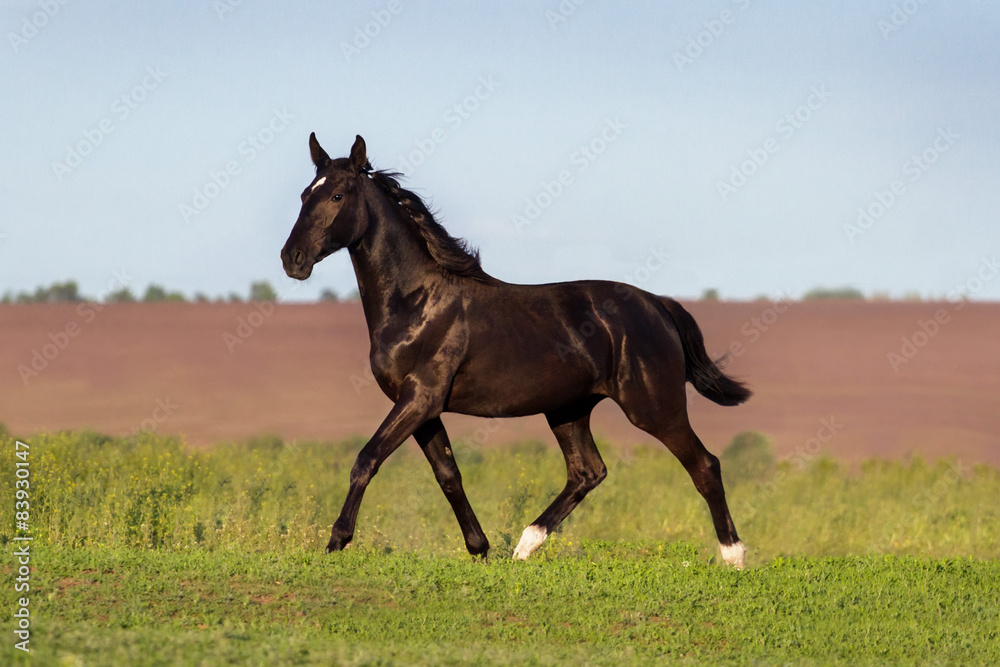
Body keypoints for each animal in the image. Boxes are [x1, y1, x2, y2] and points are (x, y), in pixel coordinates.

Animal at [281, 133, 751, 568]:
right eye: (305, 193)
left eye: (337, 194)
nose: (292, 259)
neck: (415, 301)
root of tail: (658, 304)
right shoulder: (421, 407)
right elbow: (448, 475)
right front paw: (480, 549)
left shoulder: (419, 399)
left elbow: (367, 458)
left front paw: (336, 541)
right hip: (568, 409)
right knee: (587, 472)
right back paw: (524, 547)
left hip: (654, 408)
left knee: (705, 465)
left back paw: (734, 557)